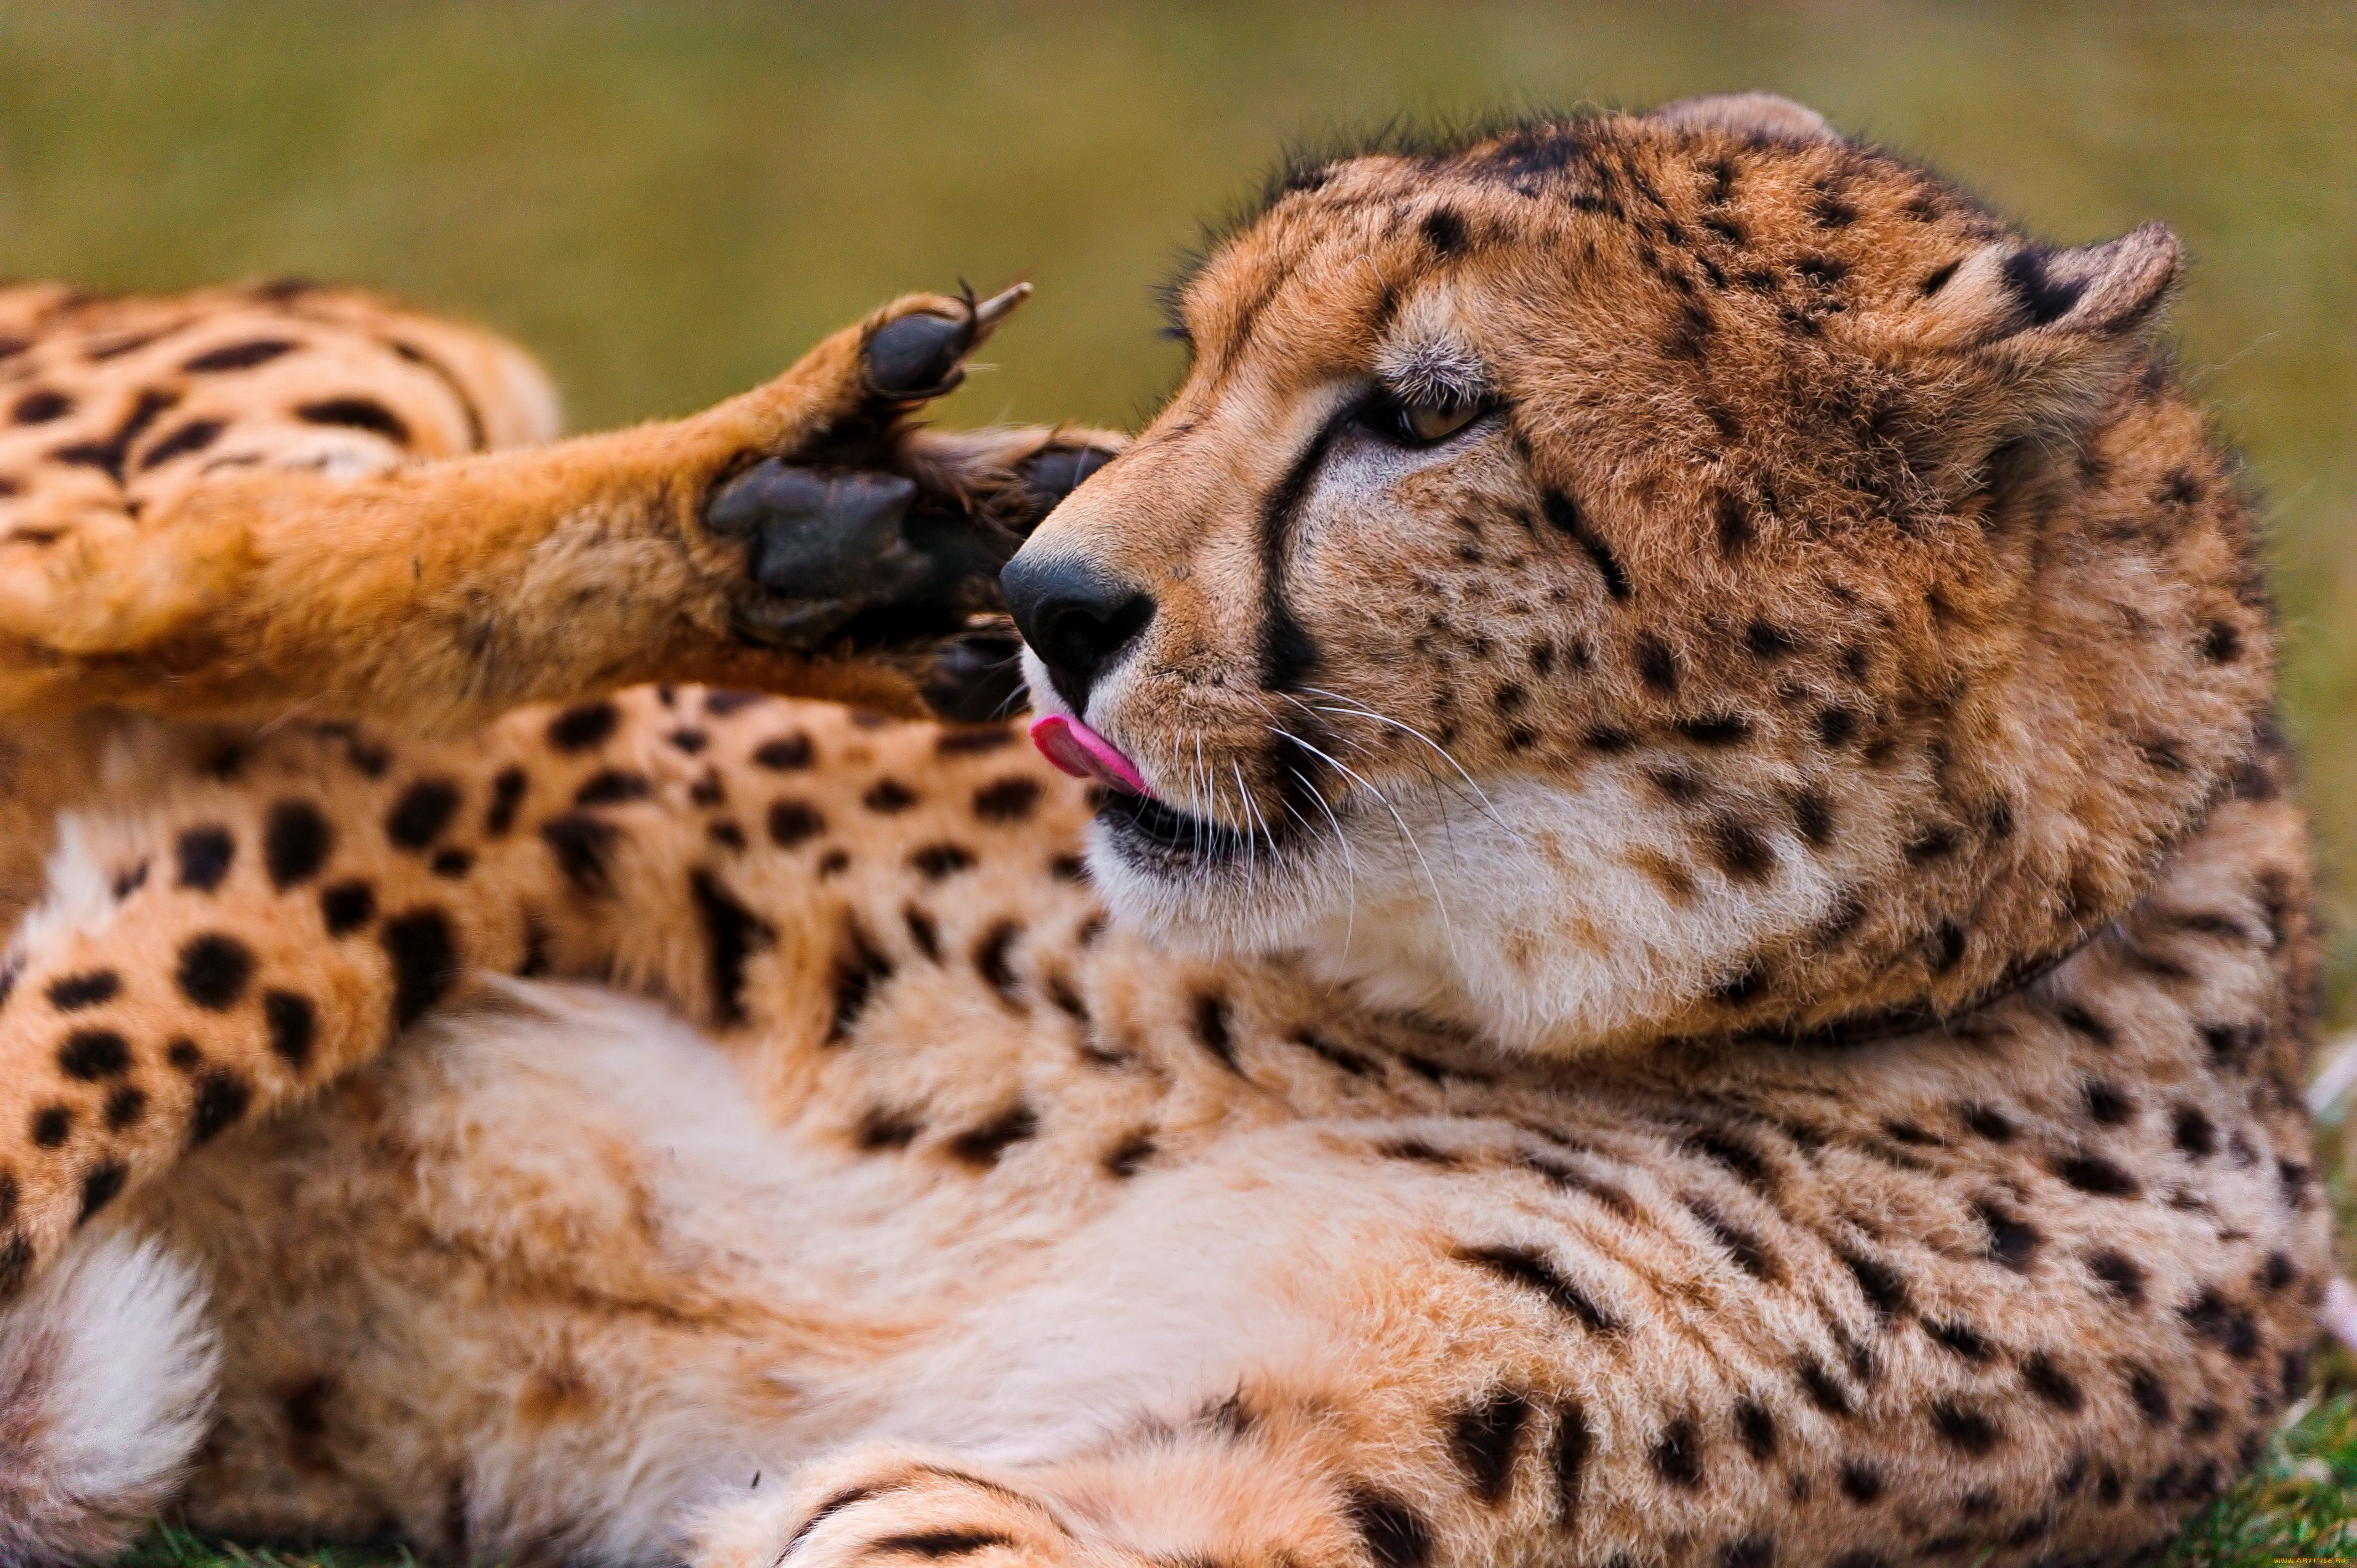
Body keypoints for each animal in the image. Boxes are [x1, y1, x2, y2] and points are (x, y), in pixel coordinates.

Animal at [0, 91, 2330, 1568]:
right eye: (1198, 360)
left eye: (1423, 411)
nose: (1048, 603)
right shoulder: (463, 784)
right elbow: (104, 1053)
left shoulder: (1156, 1488)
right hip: (394, 379)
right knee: (112, 562)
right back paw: (803, 512)